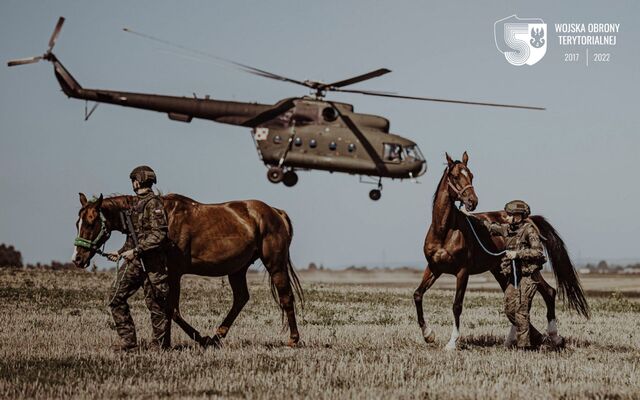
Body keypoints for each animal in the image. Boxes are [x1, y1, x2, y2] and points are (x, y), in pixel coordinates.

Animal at [72, 193, 302, 346]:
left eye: (91, 222)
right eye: (77, 222)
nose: (77, 259)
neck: (165, 218)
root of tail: (275, 212)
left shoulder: (173, 273)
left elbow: (171, 309)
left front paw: (197, 338)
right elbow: (164, 308)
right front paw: (167, 342)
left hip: (275, 264)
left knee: (286, 298)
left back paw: (293, 339)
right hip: (237, 269)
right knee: (241, 299)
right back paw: (217, 336)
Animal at [416, 153, 592, 350]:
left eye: (471, 175)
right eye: (454, 176)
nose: (472, 202)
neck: (444, 232)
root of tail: (531, 219)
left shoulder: (462, 272)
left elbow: (457, 305)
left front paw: (452, 343)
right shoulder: (434, 268)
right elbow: (418, 295)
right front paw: (428, 335)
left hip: (527, 271)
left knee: (548, 292)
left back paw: (553, 337)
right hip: (501, 272)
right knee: (516, 300)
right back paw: (514, 340)